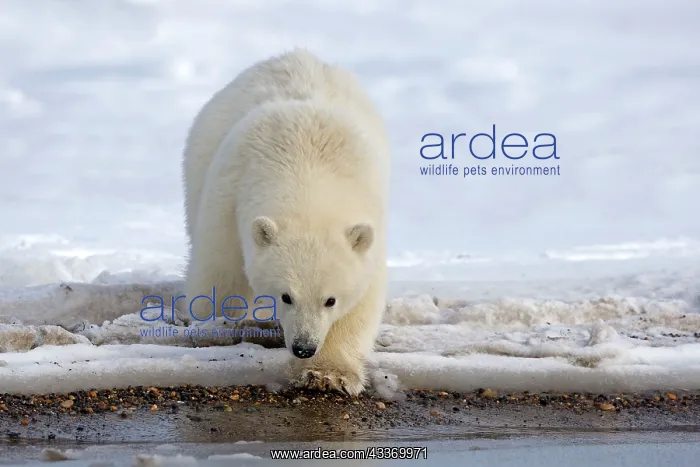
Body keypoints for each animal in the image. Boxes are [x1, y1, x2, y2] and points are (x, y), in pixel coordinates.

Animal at [181, 48, 390, 396]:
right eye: (286, 296)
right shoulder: (230, 195)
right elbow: (221, 271)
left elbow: (362, 302)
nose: (304, 347)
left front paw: (327, 374)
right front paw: (211, 326)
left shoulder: (369, 213)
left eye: (330, 299)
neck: (306, 162)